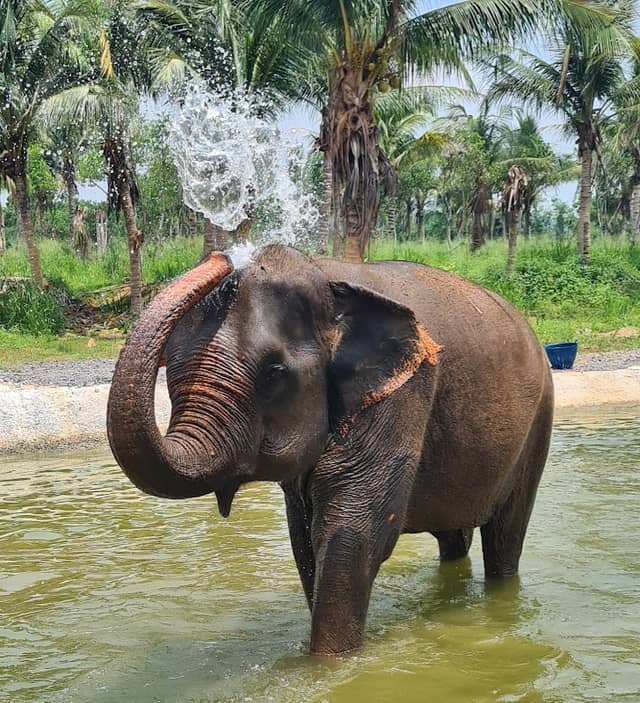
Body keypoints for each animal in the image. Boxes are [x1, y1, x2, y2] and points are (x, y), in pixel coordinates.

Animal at [107, 244, 553, 656]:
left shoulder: (405, 391)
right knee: (453, 537)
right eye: (169, 366)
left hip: (538, 420)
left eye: (274, 373)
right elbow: (304, 539)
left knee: (505, 535)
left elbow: (354, 532)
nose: (224, 257)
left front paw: (328, 669)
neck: (324, 278)